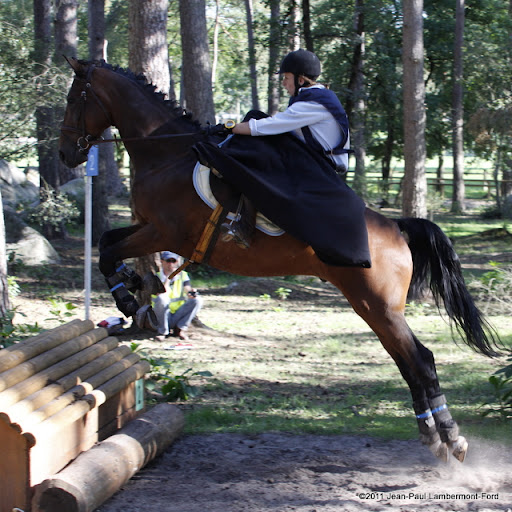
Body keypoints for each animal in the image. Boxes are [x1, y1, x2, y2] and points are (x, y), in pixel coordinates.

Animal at [59, 59, 496, 464]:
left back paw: (452, 438)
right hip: (373, 308)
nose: (66, 154)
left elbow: (108, 249)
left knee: (420, 360)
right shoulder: (147, 226)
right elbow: (107, 241)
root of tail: (396, 227)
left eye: (73, 99)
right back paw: (432, 437)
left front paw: (127, 296)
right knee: (406, 362)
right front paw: (134, 285)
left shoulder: (165, 231)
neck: (169, 153)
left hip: (378, 306)